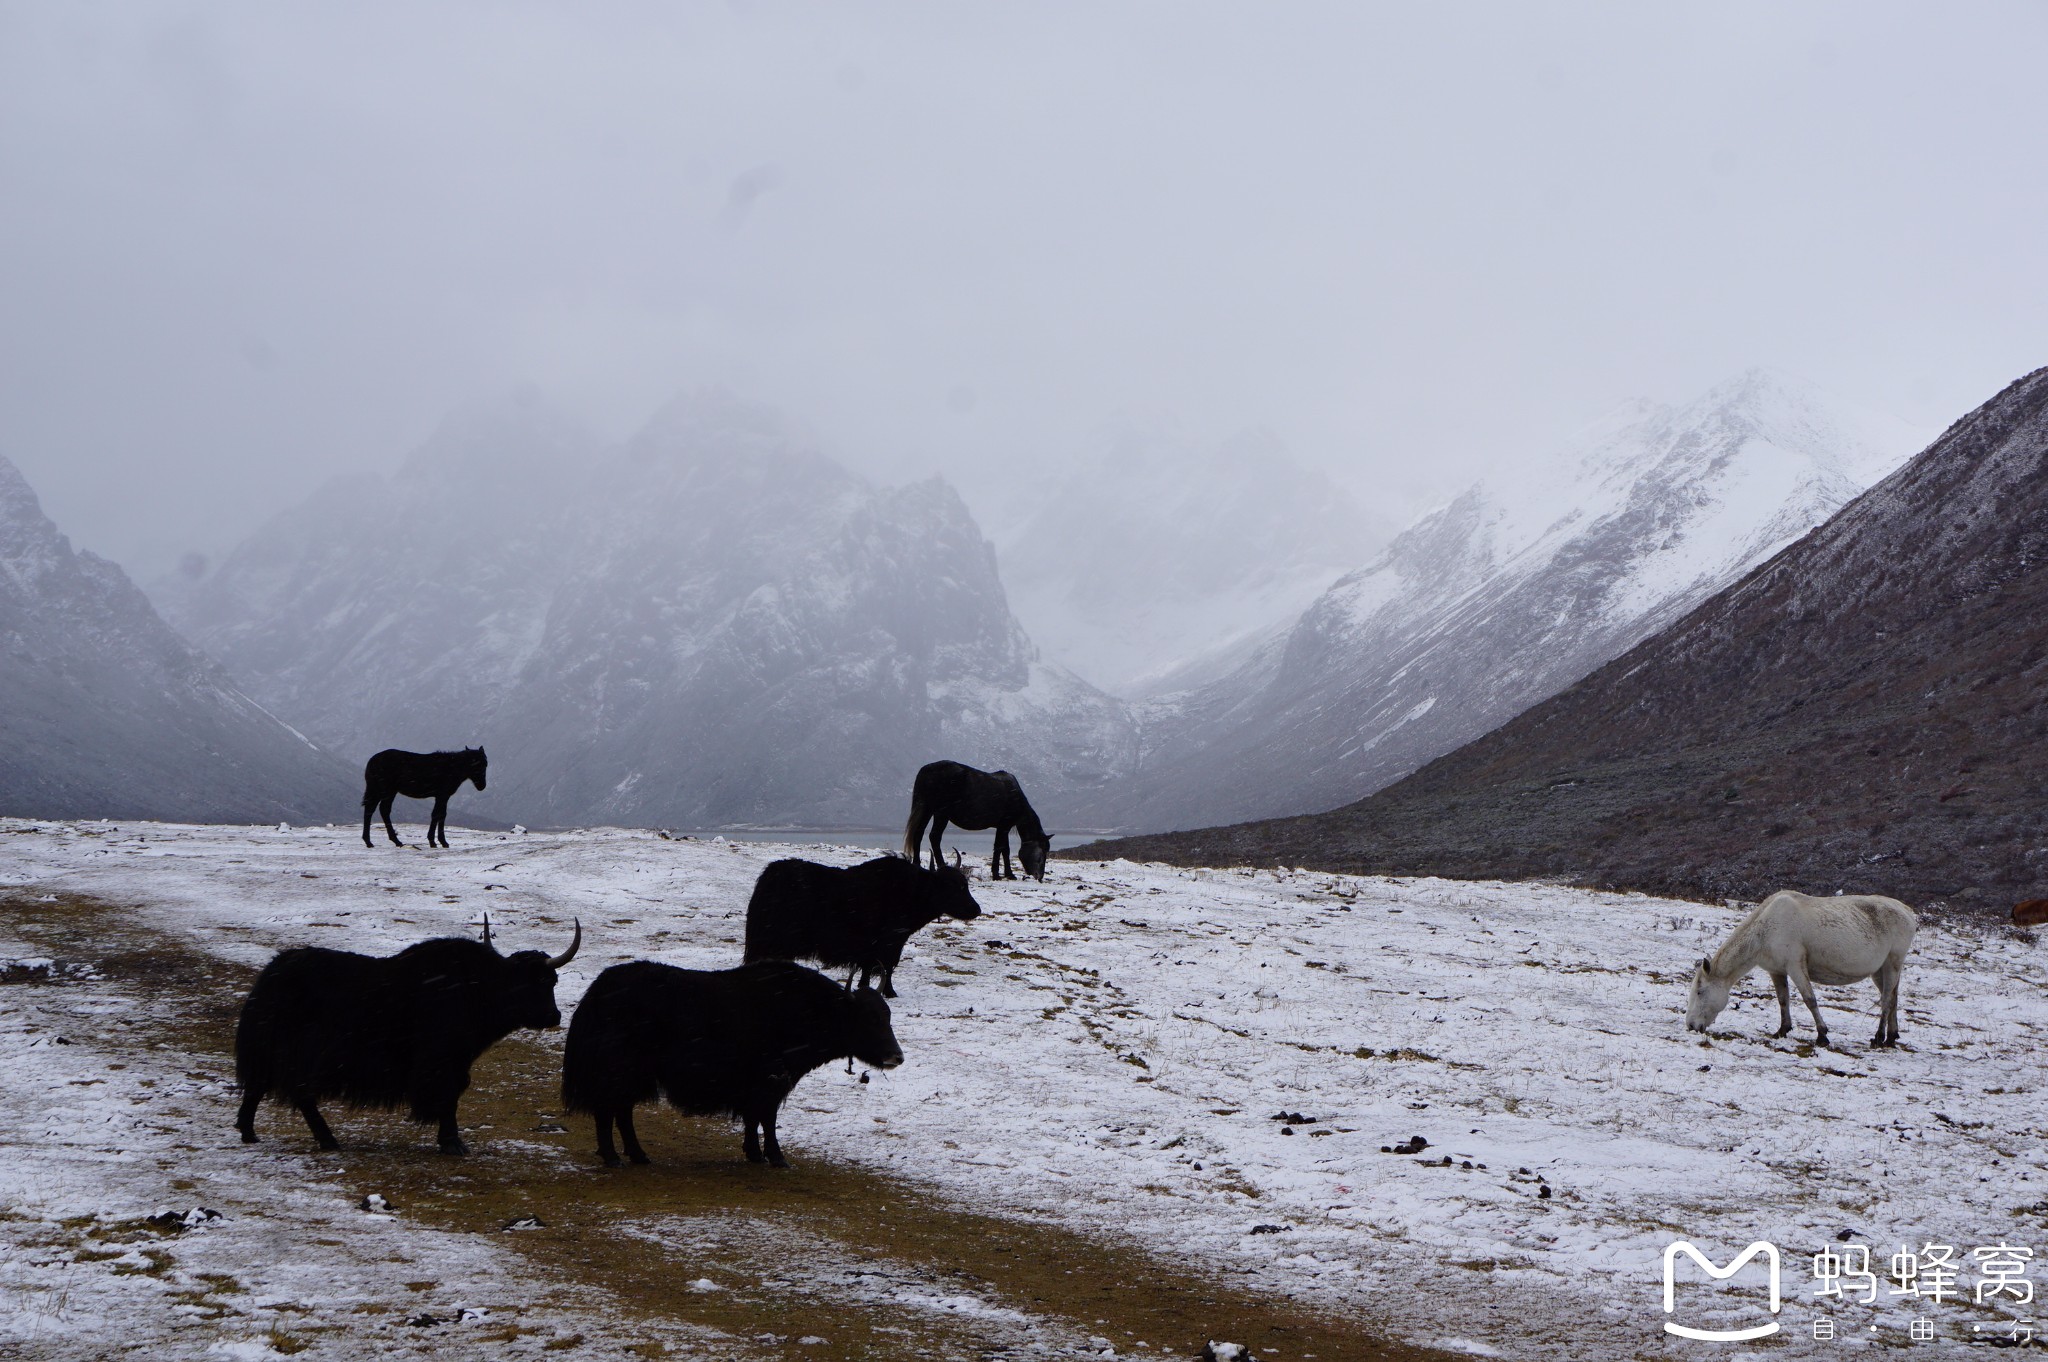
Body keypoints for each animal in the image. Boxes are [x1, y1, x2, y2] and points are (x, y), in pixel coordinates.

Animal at [905, 753, 1048, 880]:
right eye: (1041, 855)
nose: (1040, 876)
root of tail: (927, 769)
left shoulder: (1003, 827)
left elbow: (1004, 849)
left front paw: (1008, 874)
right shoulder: (1003, 826)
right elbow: (1000, 848)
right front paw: (998, 874)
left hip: (927, 810)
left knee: (918, 833)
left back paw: (917, 864)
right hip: (941, 814)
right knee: (934, 836)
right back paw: (941, 865)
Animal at [1687, 888, 1908, 1044]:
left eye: (1699, 991)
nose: (1691, 1025)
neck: (1763, 932)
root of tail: (1909, 913)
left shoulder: (1795, 965)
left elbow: (1810, 999)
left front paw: (1822, 1035)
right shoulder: (1776, 971)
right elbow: (1783, 1000)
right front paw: (1782, 1030)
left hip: (1892, 964)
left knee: (1887, 1000)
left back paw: (1879, 1038)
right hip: (1880, 971)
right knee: (1893, 998)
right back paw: (1892, 1036)